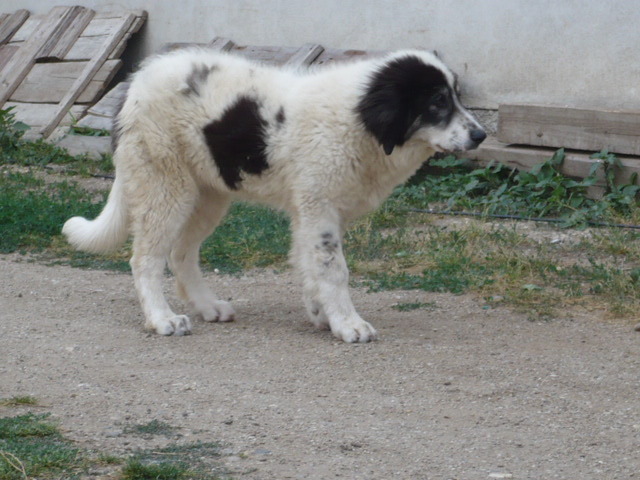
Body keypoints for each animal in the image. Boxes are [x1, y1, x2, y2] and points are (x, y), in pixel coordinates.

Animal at [63, 47, 484, 342]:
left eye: (455, 98)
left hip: (209, 194)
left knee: (182, 254)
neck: (358, 121)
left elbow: (311, 264)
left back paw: (207, 306)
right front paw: (349, 324)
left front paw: (321, 314)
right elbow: (334, 270)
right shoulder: (319, 207)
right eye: (437, 102)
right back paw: (162, 318)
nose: (480, 135)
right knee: (146, 259)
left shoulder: (315, 211)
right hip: (166, 186)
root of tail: (136, 82)